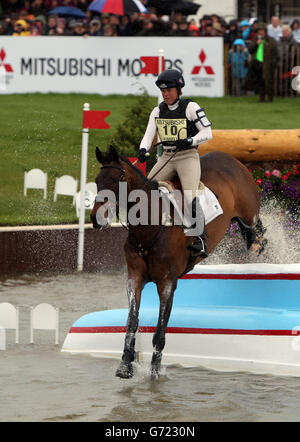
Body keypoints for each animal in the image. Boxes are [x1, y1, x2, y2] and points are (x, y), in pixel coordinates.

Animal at [91, 146, 268, 380]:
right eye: (97, 181)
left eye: (116, 179)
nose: (96, 219)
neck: (150, 228)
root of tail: (230, 158)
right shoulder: (134, 279)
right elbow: (131, 321)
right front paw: (125, 365)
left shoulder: (167, 284)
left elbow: (160, 331)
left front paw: (155, 372)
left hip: (250, 214)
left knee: (258, 235)